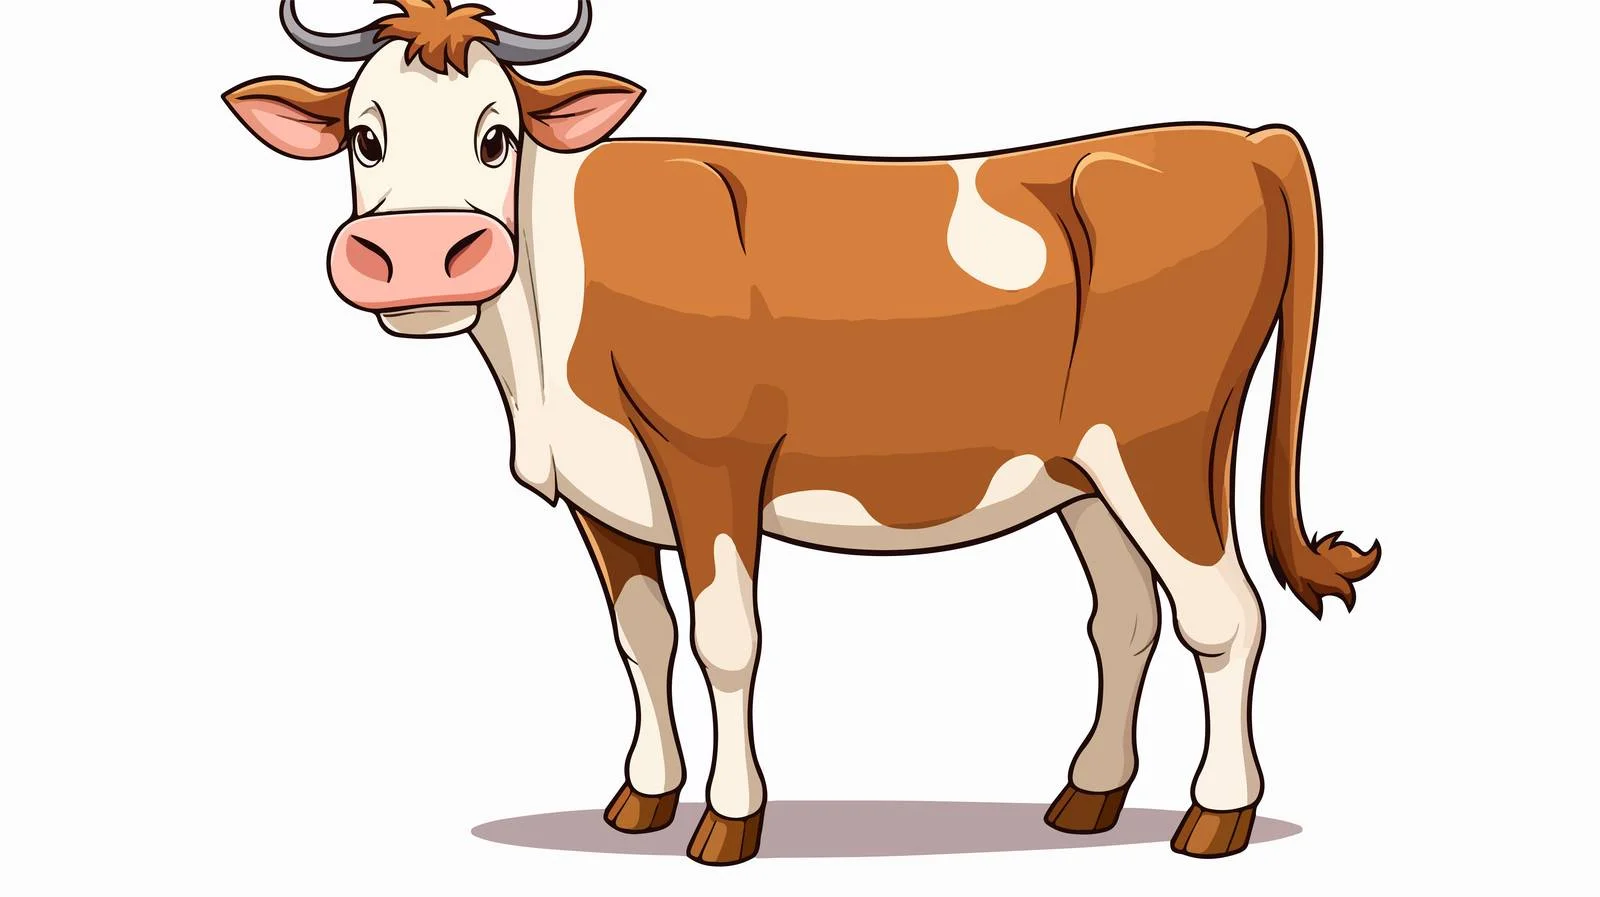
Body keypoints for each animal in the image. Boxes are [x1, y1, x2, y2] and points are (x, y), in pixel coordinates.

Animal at [224, 0, 1380, 865]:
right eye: (364, 136)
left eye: (496, 134)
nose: (421, 257)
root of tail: (1238, 138)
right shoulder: (607, 492)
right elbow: (642, 636)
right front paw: (642, 799)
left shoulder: (712, 462)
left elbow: (724, 639)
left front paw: (729, 822)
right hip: (1083, 470)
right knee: (1126, 618)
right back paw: (1087, 797)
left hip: (1162, 447)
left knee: (1223, 614)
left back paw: (1215, 817)